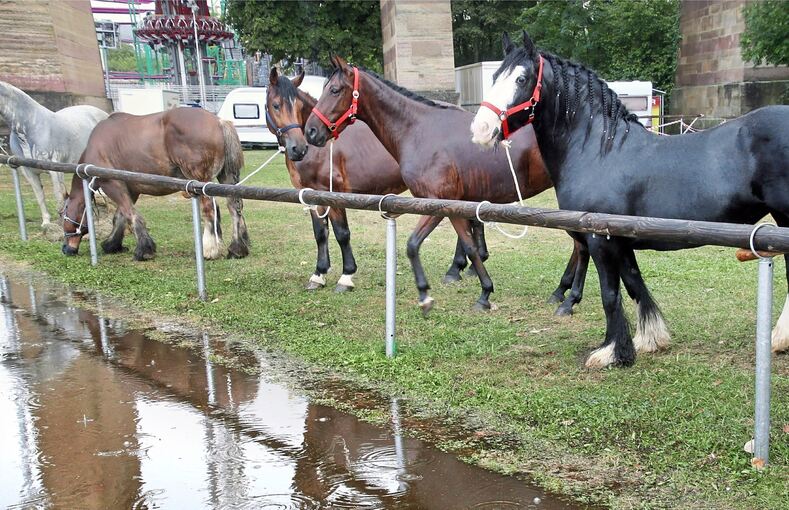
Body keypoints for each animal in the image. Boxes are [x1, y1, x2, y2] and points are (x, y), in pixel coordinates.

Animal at [0, 81, 107, 225]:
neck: (30, 126)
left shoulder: (55, 170)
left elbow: (59, 195)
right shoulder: (28, 172)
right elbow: (40, 196)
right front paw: (46, 222)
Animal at [62, 106, 249, 260]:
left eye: (62, 215)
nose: (66, 249)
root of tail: (219, 122)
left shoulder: (111, 184)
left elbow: (130, 214)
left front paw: (144, 250)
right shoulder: (131, 189)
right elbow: (120, 216)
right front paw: (112, 244)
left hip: (200, 181)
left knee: (211, 210)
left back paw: (210, 250)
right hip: (226, 178)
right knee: (234, 208)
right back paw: (237, 249)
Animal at [268, 67, 496, 290]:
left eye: (297, 105)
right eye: (276, 105)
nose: (299, 147)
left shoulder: (333, 193)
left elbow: (342, 233)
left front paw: (346, 276)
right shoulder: (309, 196)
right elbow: (320, 234)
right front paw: (319, 274)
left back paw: (458, 268)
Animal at [304, 53, 584, 312]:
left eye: (334, 90)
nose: (311, 131)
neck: (418, 131)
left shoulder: (436, 205)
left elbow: (412, 245)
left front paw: (425, 295)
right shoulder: (453, 206)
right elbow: (470, 246)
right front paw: (484, 293)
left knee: (581, 245)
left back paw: (568, 297)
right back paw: (561, 292)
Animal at [470, 30, 788, 366]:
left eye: (521, 78)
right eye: (495, 76)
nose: (481, 129)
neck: (601, 151)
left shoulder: (601, 240)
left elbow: (610, 295)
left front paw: (612, 352)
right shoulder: (621, 242)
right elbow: (635, 285)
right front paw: (649, 339)